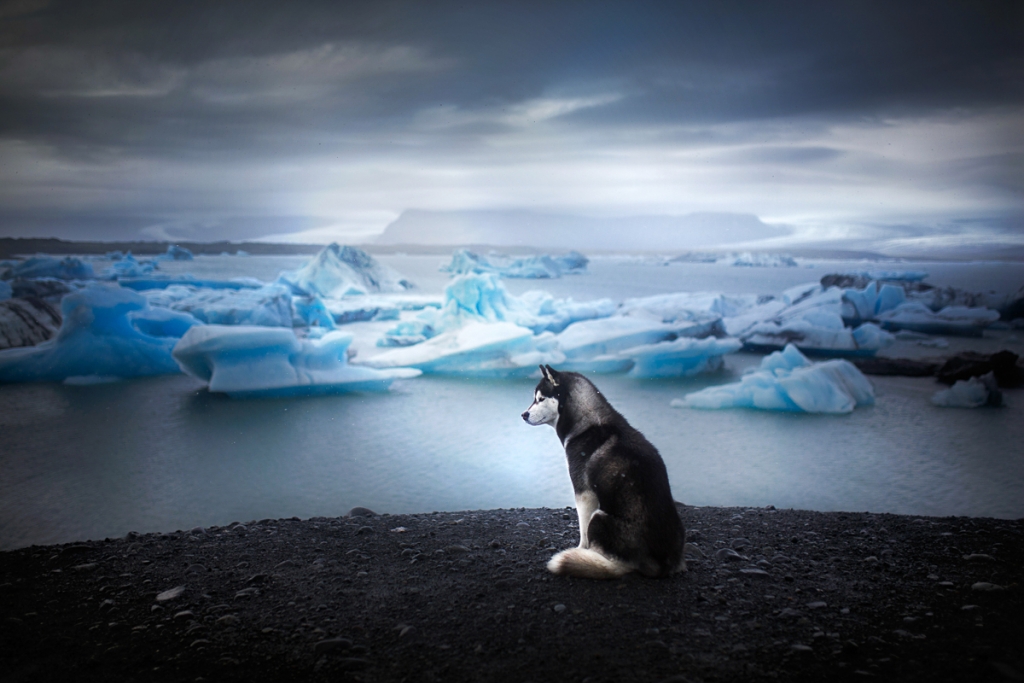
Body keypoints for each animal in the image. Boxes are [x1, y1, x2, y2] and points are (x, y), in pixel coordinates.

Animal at [520, 366, 688, 581]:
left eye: (540, 398)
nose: (523, 415)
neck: (587, 423)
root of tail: (662, 565)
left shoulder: (584, 492)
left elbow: (583, 533)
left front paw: (580, 550)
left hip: (599, 518)